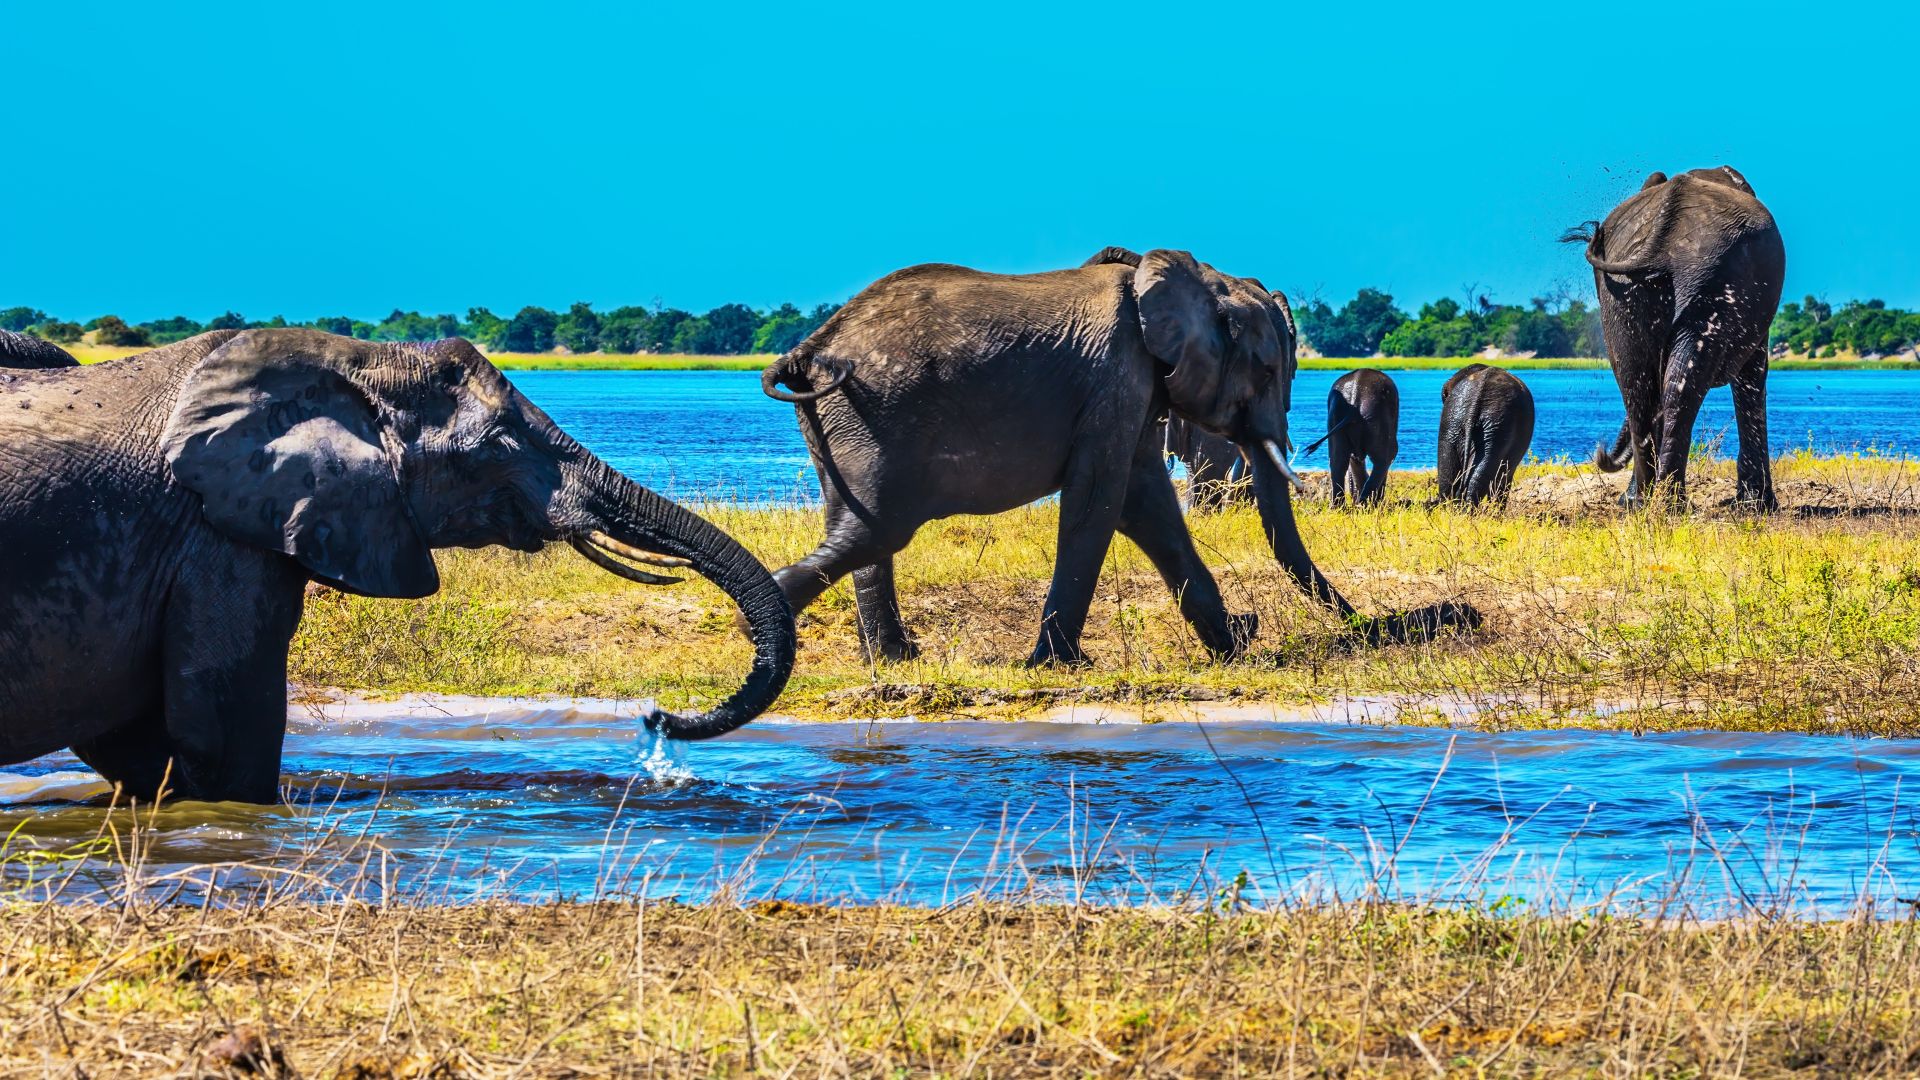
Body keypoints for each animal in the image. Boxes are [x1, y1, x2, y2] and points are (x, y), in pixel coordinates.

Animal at [0, 329, 795, 803]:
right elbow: (220, 728)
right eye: (500, 444)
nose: (656, 715)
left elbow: (141, 742)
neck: (354, 358)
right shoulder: (215, 536)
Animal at [1315, 369, 1398, 506]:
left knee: (1338, 462)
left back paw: (1341, 507)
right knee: (1384, 459)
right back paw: (1367, 505)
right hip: (1378, 419)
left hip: (1335, 418)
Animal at [1564, 165, 1785, 508]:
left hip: (1628, 293)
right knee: (1678, 386)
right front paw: (1757, 506)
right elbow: (1752, 373)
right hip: (1712, 281)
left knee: (1637, 384)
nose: (1600, 454)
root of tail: (1663, 235)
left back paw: (1642, 502)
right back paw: (1670, 504)